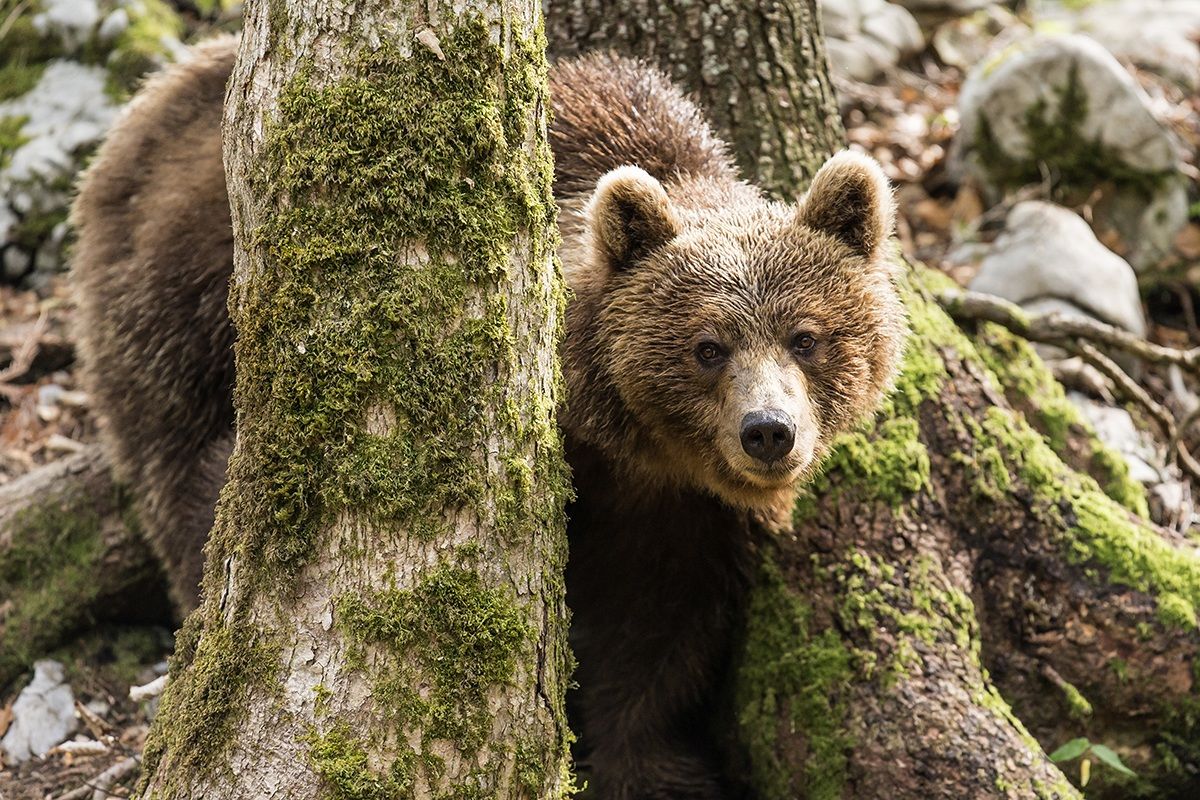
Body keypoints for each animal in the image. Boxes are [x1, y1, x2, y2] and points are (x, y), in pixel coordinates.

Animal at [71, 37, 905, 800]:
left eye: (807, 337)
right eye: (707, 346)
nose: (768, 430)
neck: (632, 454)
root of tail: (149, 104)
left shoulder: (686, 518)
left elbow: (656, 635)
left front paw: (649, 765)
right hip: (173, 307)